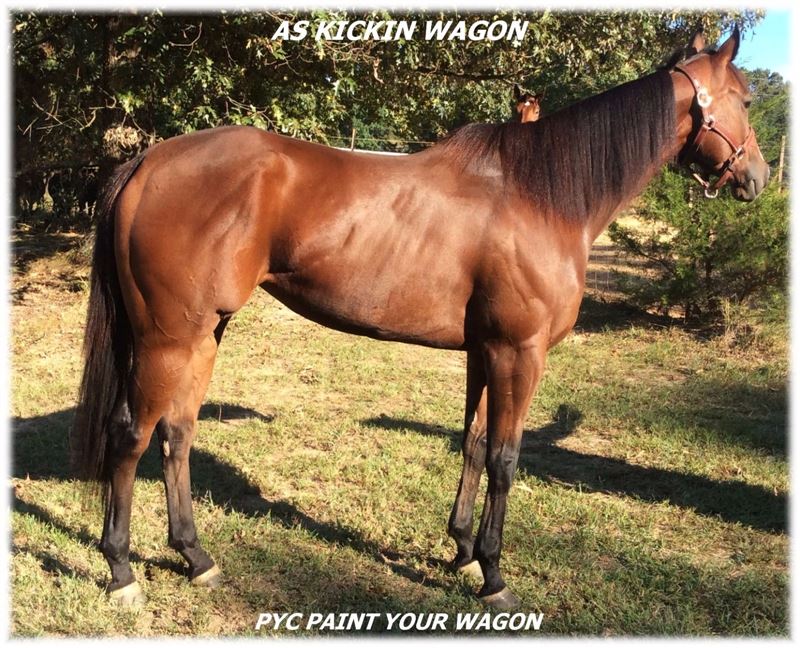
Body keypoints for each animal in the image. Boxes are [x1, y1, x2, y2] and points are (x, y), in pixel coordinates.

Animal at [70, 26, 769, 610]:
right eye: (746, 98)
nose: (759, 177)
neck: (542, 196)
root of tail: (148, 162)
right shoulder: (520, 352)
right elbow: (507, 458)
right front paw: (494, 576)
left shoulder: (486, 351)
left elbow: (474, 442)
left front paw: (461, 552)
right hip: (167, 337)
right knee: (131, 435)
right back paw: (121, 572)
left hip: (204, 334)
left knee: (177, 434)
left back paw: (196, 558)